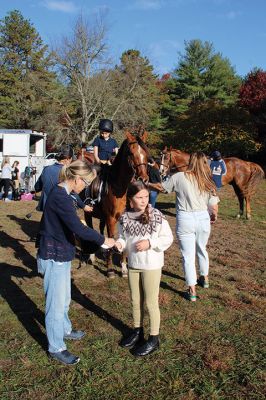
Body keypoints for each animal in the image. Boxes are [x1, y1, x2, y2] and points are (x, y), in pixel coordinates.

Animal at [81, 130, 150, 276]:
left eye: (146, 153)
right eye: (131, 153)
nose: (144, 179)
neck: (119, 187)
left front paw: (123, 268)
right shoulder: (111, 219)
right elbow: (112, 238)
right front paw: (110, 270)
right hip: (87, 212)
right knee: (90, 228)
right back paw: (91, 257)